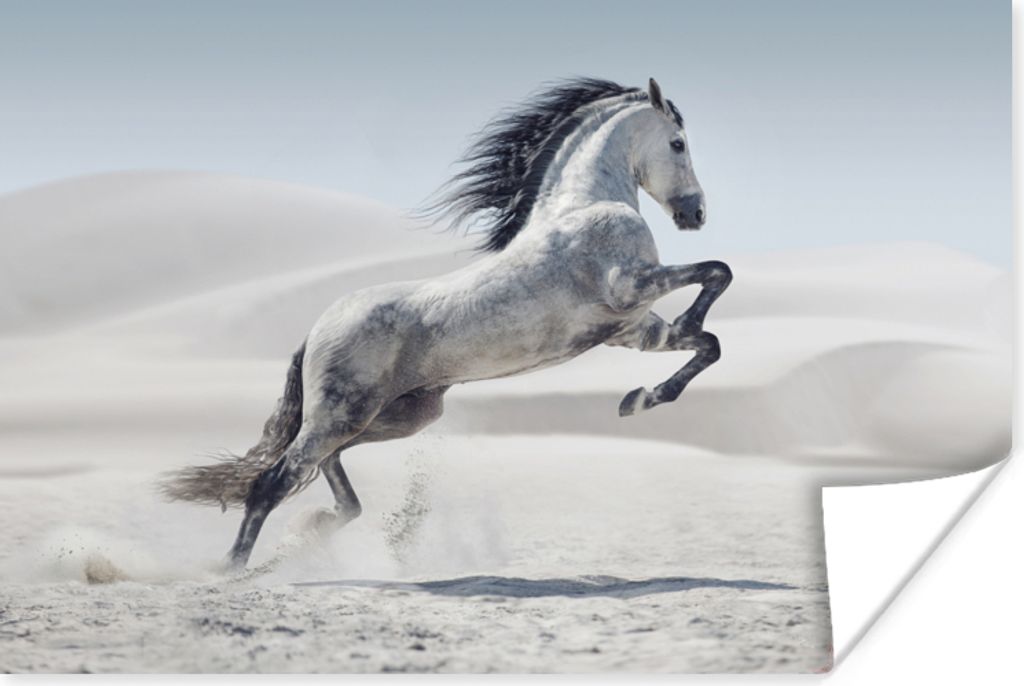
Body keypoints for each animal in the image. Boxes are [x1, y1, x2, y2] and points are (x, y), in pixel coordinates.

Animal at [160, 77, 733, 569]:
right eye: (678, 143)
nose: (696, 214)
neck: (584, 205)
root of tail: (318, 328)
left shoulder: (632, 330)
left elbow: (708, 343)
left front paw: (639, 399)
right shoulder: (629, 287)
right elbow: (717, 273)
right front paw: (658, 368)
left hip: (397, 416)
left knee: (325, 469)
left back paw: (314, 529)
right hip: (343, 413)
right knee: (274, 481)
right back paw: (232, 570)